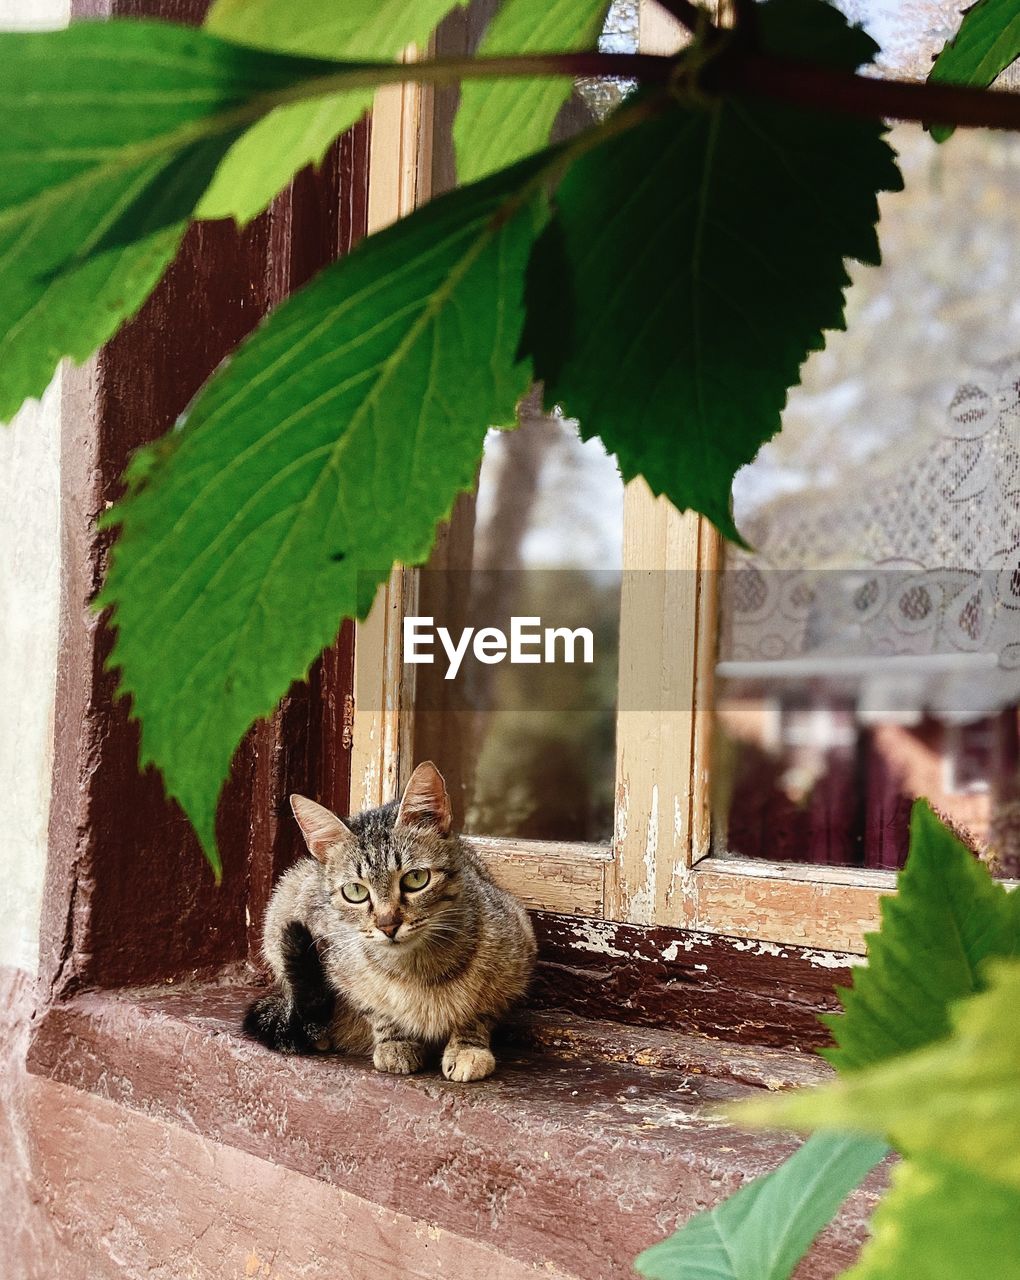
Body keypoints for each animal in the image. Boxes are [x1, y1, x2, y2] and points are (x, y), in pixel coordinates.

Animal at [243, 757, 537, 1080]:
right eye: (355, 891)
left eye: (416, 879)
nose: (388, 925)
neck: (416, 969)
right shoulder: (335, 962)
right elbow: (376, 1010)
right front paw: (394, 1042)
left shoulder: (518, 951)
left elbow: (479, 1011)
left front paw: (467, 1047)